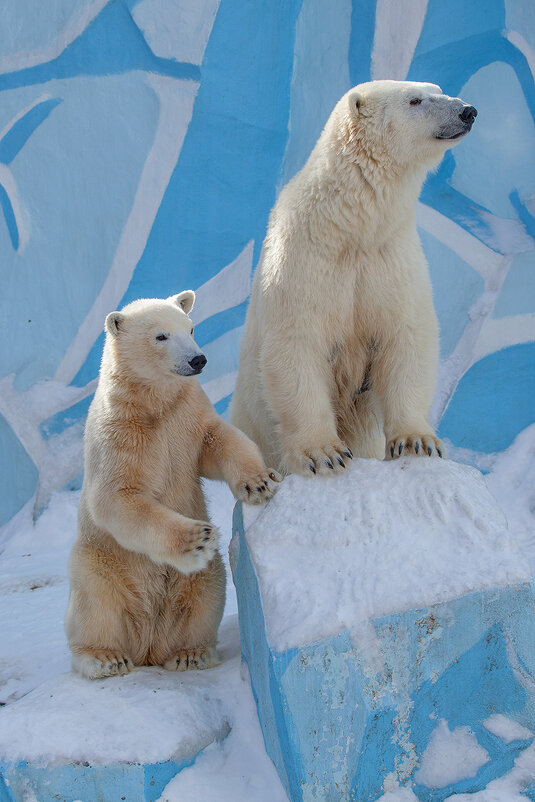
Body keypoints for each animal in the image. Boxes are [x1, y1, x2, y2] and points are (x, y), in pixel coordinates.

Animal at [67, 290, 280, 680]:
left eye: (190, 327)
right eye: (161, 336)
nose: (198, 359)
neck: (153, 404)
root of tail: (148, 646)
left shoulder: (187, 415)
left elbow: (219, 441)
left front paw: (259, 483)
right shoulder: (119, 434)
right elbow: (117, 499)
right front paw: (198, 538)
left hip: (198, 584)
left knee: (206, 593)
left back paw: (189, 653)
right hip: (99, 562)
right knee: (95, 604)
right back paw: (105, 658)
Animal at [230, 79, 478, 476]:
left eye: (438, 88)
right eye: (415, 100)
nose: (467, 111)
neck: (351, 227)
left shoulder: (390, 259)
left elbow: (406, 337)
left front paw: (417, 441)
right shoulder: (306, 260)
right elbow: (297, 343)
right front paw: (324, 453)